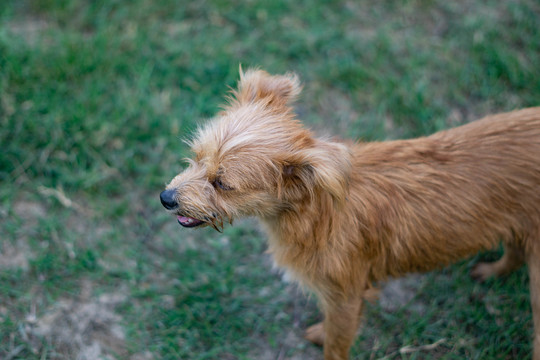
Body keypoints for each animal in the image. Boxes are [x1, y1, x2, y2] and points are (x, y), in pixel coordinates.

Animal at [159, 69, 540, 358]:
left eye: (222, 184)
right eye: (196, 157)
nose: (165, 198)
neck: (312, 212)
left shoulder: (344, 297)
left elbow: (337, 345)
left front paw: (326, 339)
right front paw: (320, 331)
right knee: (515, 249)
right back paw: (492, 271)